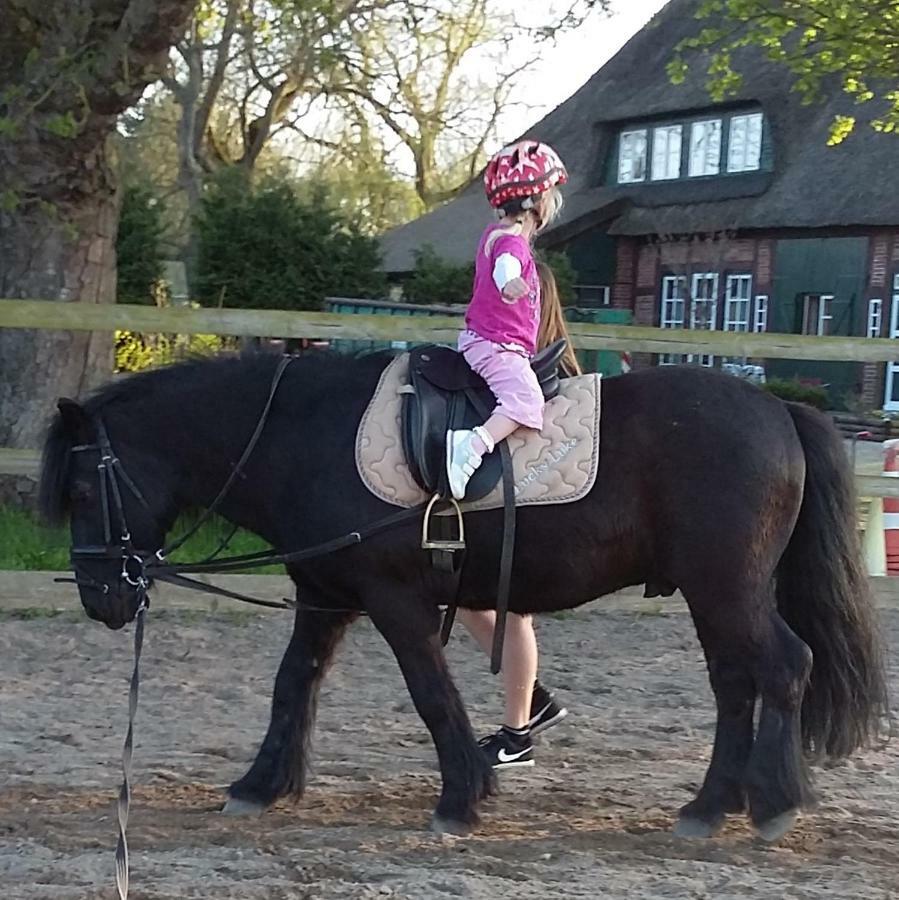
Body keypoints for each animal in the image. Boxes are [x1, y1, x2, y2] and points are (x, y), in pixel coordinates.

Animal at [40, 350, 884, 836]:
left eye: (81, 489)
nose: (101, 598)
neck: (302, 432)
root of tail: (779, 408)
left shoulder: (393, 600)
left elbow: (430, 693)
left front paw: (459, 800)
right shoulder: (323, 595)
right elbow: (292, 686)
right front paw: (259, 785)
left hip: (725, 589)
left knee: (782, 668)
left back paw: (771, 803)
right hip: (713, 596)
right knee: (735, 683)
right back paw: (710, 807)